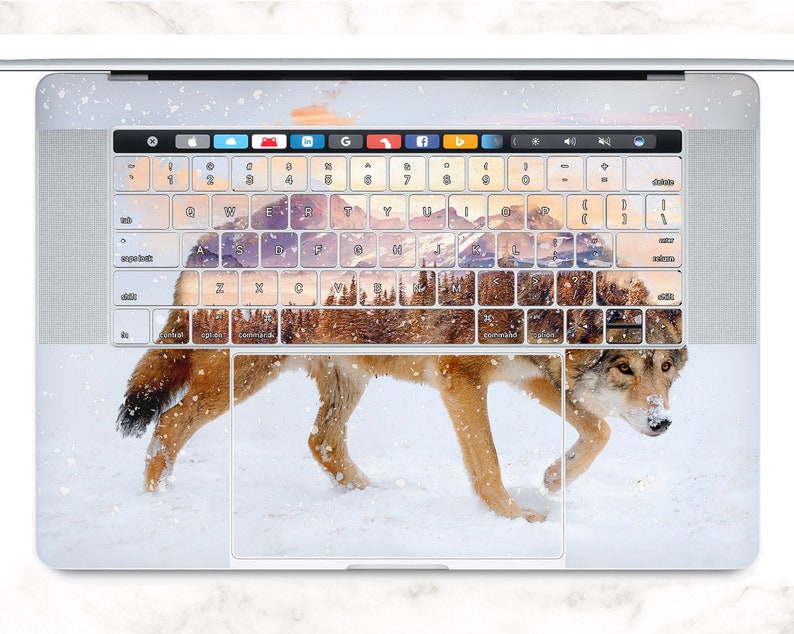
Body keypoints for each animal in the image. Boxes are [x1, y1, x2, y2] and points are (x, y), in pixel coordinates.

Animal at [117, 331, 687, 523]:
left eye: (664, 366)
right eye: (623, 368)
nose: (662, 422)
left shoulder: (528, 376)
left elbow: (600, 431)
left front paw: (553, 478)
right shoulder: (462, 380)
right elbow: (488, 465)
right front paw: (516, 519)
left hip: (346, 383)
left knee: (321, 441)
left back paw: (374, 494)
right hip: (244, 376)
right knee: (169, 421)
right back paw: (156, 501)